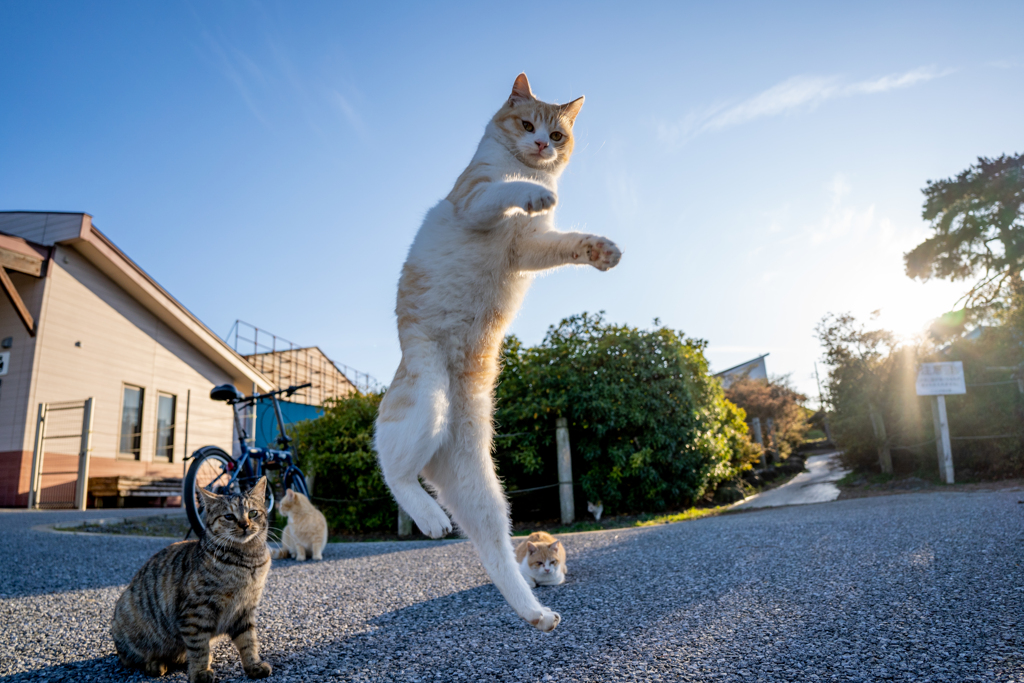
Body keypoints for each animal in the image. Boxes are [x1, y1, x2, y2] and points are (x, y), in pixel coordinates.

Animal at [111, 479, 272, 679]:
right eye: (229, 516)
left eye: (253, 513)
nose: (244, 524)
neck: (248, 562)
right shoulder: (196, 612)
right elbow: (198, 646)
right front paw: (200, 672)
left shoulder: (244, 609)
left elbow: (249, 641)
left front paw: (254, 665)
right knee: (130, 659)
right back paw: (155, 664)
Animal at [372, 72, 618, 634]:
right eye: (527, 126)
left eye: (557, 135)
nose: (540, 146)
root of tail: (441, 449)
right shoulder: (476, 201)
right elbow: (504, 191)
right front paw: (533, 193)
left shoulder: (531, 248)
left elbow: (570, 243)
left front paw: (601, 251)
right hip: (426, 398)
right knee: (392, 469)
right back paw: (429, 518)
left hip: (484, 494)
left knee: (498, 555)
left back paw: (535, 613)